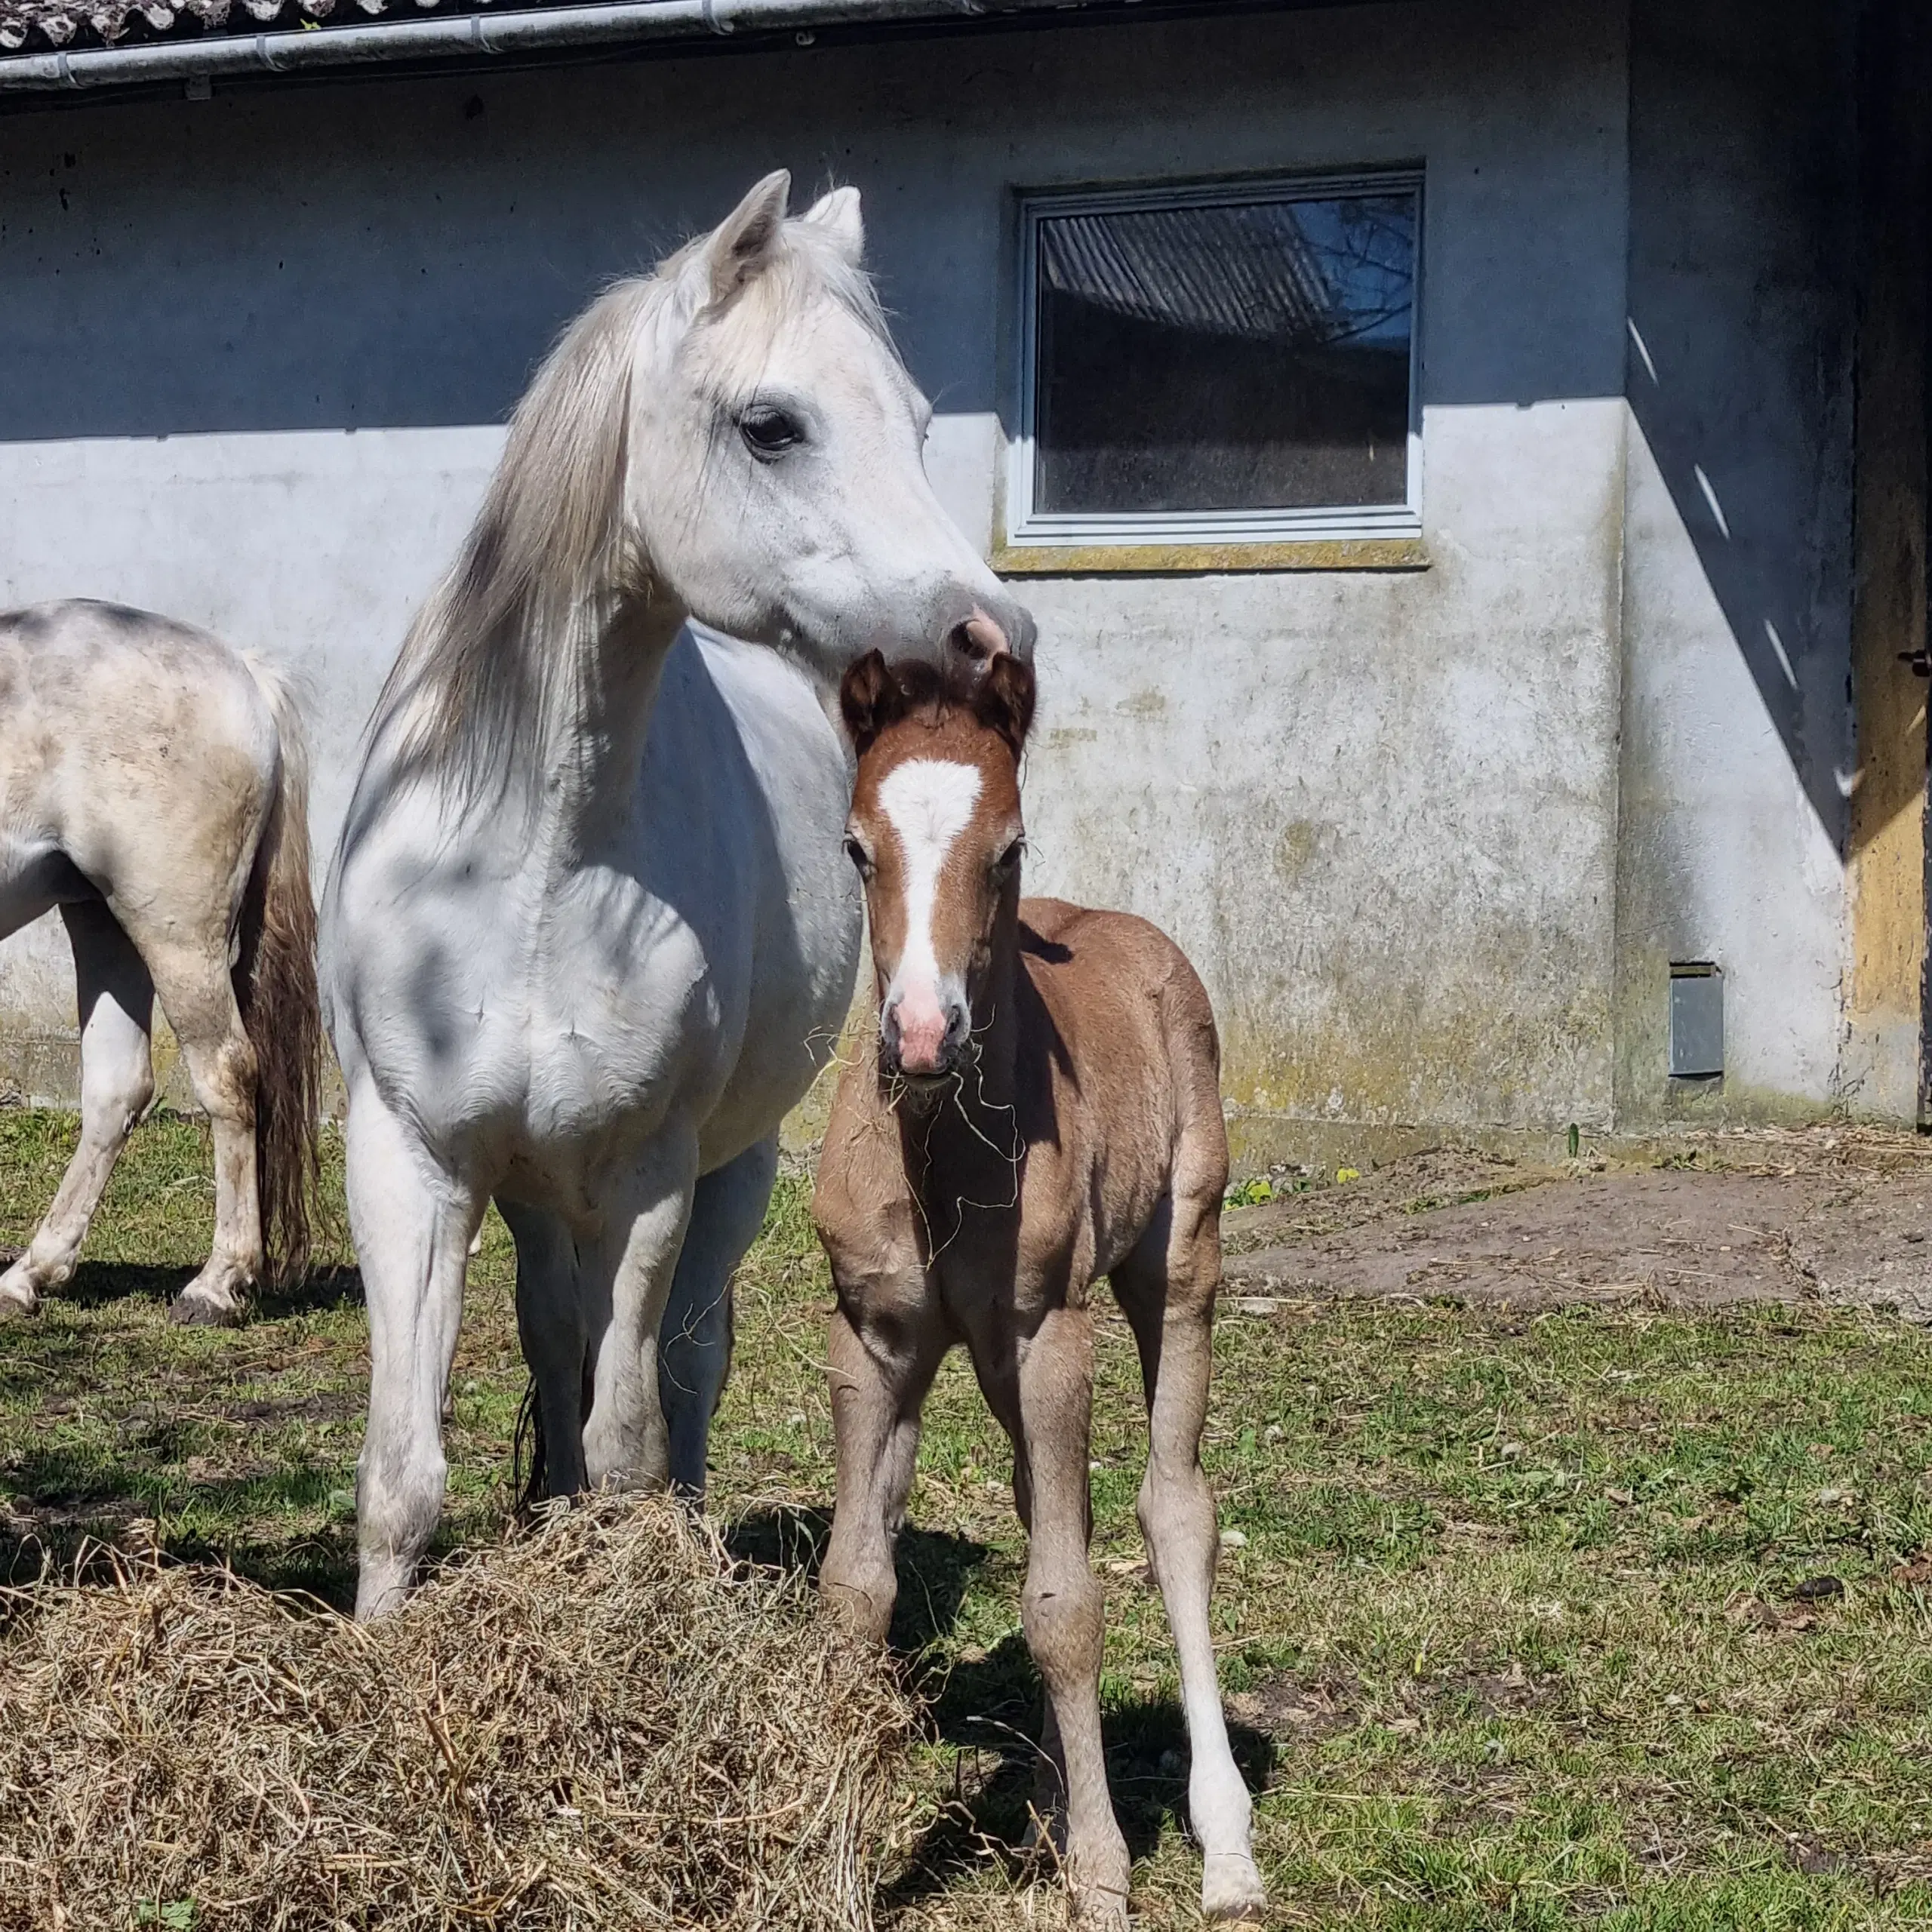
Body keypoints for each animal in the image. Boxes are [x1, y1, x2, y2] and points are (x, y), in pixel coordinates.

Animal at [0, 602, 320, 1329]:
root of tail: (244, 674)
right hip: (102, 918)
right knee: (116, 1090)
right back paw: (30, 1274)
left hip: (174, 931)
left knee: (228, 1074)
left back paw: (215, 1285)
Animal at [325, 170, 1035, 1615]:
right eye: (772, 426)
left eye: (918, 422)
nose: (999, 639)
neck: (538, 856)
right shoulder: (410, 1160)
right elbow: (404, 1472)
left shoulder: (651, 1172)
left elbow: (631, 1436)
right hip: (536, 1191)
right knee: (555, 1334)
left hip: (727, 1171)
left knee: (686, 1368)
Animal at [815, 657, 1267, 1924]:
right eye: (856, 847)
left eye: (1009, 847)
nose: (923, 1036)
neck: (941, 1156)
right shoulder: (871, 1340)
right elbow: (857, 1588)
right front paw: (840, 1862)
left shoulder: (1047, 1332)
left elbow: (1065, 1607)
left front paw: (1106, 1874)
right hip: (988, 1356)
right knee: (1041, 1506)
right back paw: (1066, 1811)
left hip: (1177, 1264)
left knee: (1174, 1510)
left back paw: (1224, 1845)